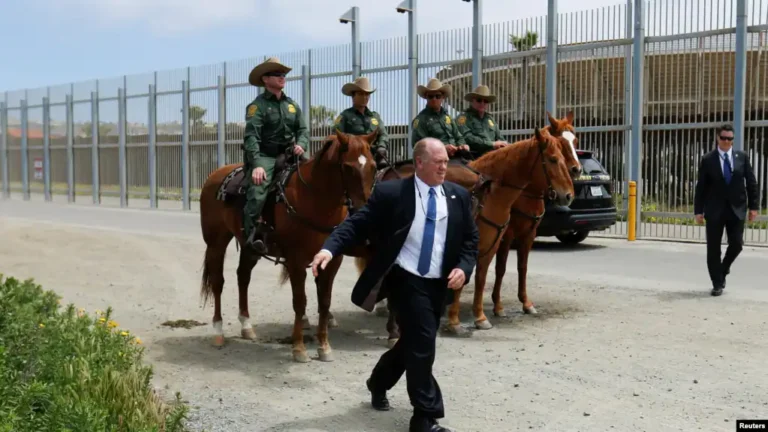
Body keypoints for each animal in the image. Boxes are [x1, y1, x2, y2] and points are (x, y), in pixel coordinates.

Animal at [198, 130, 378, 362]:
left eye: (374, 166)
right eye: (348, 167)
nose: (365, 210)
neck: (314, 199)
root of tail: (215, 175)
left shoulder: (332, 261)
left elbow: (324, 302)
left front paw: (324, 346)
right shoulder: (296, 261)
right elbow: (300, 302)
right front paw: (299, 348)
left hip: (250, 248)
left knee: (243, 277)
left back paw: (246, 326)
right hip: (216, 243)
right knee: (218, 282)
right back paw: (218, 331)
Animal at [354, 126, 576, 346]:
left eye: (567, 152)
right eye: (553, 159)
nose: (568, 195)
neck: (490, 195)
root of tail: (386, 173)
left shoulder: (496, 243)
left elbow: (483, 278)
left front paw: (481, 317)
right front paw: (455, 321)